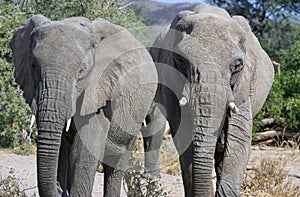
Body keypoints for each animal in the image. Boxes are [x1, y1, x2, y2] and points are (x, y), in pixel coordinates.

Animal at [9, 14, 157, 196]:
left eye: (81, 70)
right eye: (33, 65)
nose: (59, 188)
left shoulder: (99, 89)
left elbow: (83, 150)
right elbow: (64, 148)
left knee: (115, 166)